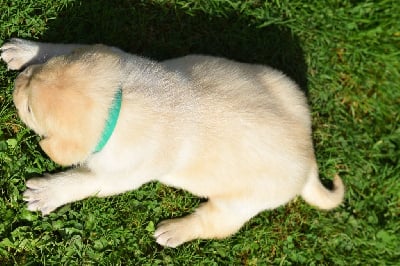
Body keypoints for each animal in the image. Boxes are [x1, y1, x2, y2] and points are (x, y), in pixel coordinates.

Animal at [0, 39, 344, 247]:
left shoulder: (122, 173)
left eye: (28, 109)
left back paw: (175, 231)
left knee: (217, 225)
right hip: (283, 84)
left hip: (242, 203)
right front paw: (25, 50)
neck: (119, 101)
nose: (18, 83)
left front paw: (48, 193)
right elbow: (66, 44)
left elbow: (83, 181)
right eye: (36, 71)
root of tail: (309, 159)